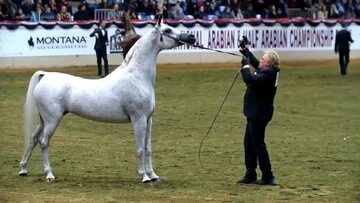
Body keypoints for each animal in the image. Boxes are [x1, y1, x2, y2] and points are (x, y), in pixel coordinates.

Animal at [18, 16, 195, 182]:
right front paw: (144, 176)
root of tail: (45, 75)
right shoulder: (138, 120)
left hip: (44, 121)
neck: (137, 77)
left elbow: (148, 148)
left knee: (33, 139)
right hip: (52, 121)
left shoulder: (148, 120)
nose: (192, 37)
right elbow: (140, 149)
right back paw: (49, 174)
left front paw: (153, 175)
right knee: (43, 142)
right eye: (168, 30)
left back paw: (23, 169)